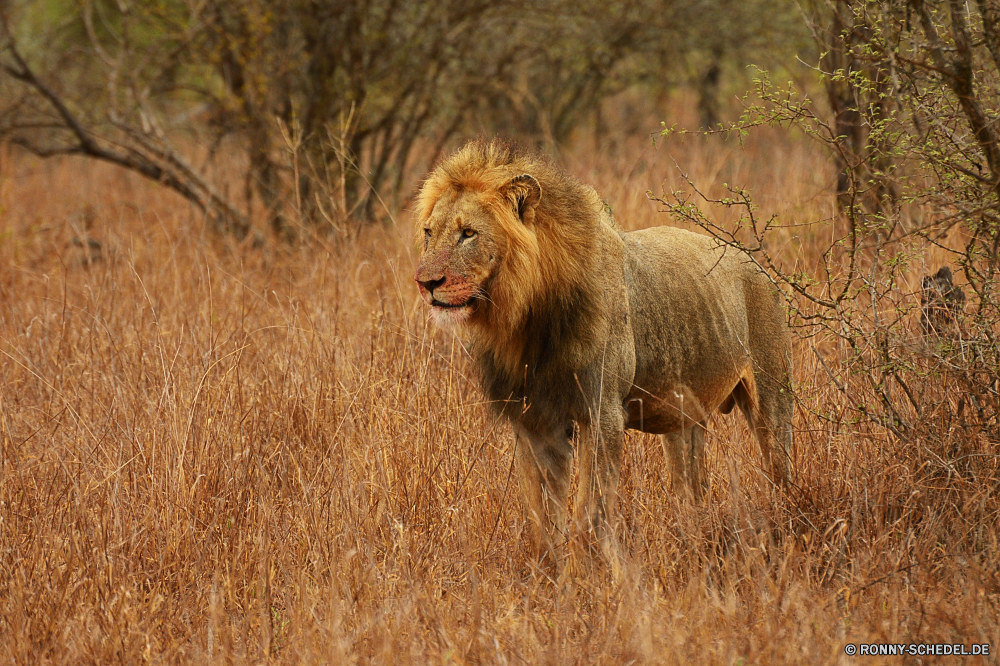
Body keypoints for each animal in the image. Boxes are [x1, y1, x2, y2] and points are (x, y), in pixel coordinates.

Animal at [410, 137, 792, 564]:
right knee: (692, 490)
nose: (426, 283)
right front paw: (550, 574)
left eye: (468, 233)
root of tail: (753, 261)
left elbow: (588, 515)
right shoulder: (533, 422)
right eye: (429, 232)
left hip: (771, 399)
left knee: (779, 469)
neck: (525, 320)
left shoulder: (602, 413)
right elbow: (542, 522)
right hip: (684, 418)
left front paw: (589, 573)